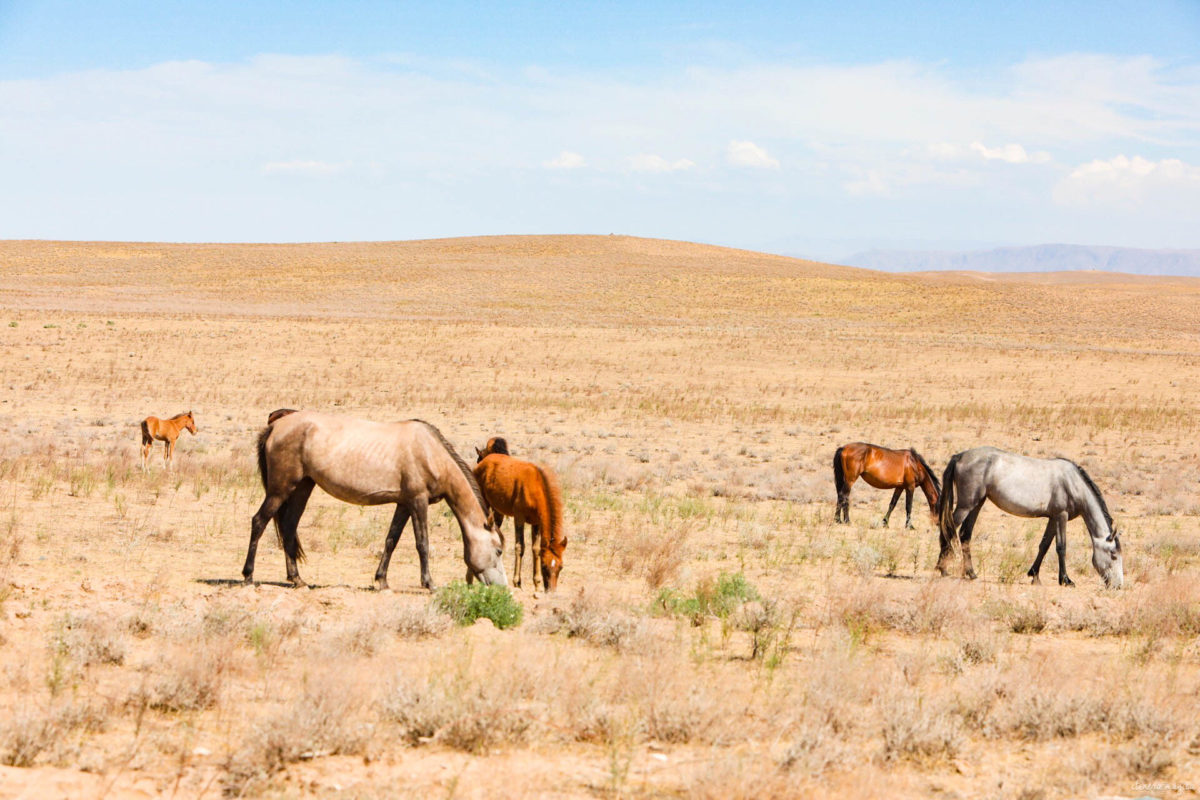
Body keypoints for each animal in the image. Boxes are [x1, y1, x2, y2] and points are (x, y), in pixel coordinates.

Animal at [243, 412, 506, 587]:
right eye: (499, 550)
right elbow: (422, 543)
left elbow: (391, 540)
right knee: (259, 521)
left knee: (288, 527)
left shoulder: (404, 504)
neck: (431, 452)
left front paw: (381, 581)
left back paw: (297, 579)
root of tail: (275, 427)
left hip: (302, 488)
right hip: (280, 489)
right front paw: (429, 583)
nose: (502, 588)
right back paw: (248, 576)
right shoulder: (418, 502)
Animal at [470, 441, 564, 592]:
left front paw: (536, 582)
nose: (551, 591)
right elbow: (520, 547)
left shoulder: (536, 523)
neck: (534, 486)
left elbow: (535, 549)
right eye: (544, 567)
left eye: (561, 567)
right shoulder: (519, 518)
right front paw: (517, 582)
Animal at [936, 448, 1123, 592]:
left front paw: (1034, 575)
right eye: (1113, 555)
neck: (1073, 483)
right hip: (965, 505)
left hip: (977, 504)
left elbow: (1044, 545)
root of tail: (960, 456)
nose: (1118, 586)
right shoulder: (1061, 516)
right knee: (948, 529)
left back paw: (970, 573)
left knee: (965, 534)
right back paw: (942, 568)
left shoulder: (1053, 518)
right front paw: (1066, 580)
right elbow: (1061, 547)